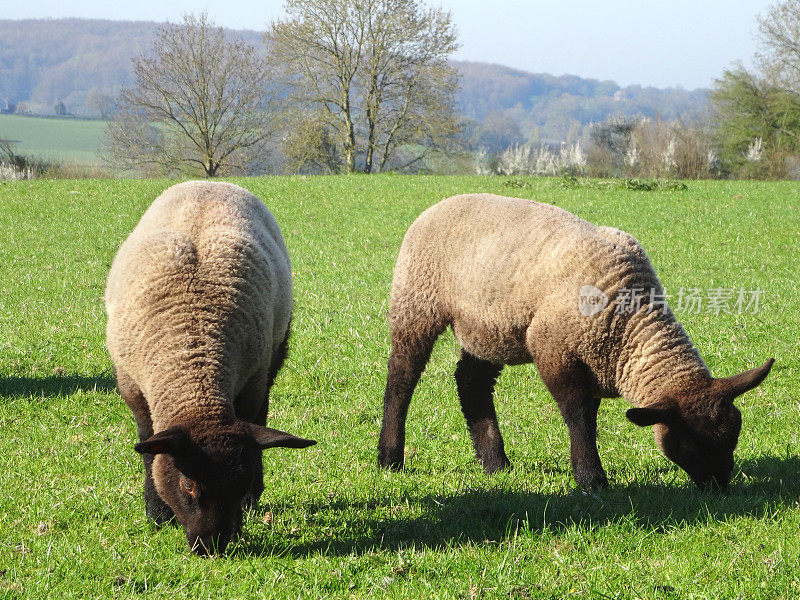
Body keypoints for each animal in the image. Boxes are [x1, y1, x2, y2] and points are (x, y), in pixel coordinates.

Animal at [105, 180, 316, 556]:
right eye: (188, 485)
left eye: (239, 484)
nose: (211, 548)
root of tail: (210, 182)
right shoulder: (133, 387)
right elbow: (149, 449)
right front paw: (157, 514)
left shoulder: (251, 384)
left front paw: (248, 503)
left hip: (274, 353)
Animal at [382, 195, 776, 490]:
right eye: (690, 444)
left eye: (734, 434)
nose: (719, 487)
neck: (630, 324)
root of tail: (441, 203)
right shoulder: (552, 348)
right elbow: (579, 414)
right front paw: (591, 479)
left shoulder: (594, 359)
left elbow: (587, 412)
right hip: (416, 301)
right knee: (402, 376)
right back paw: (389, 458)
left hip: (487, 327)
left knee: (471, 382)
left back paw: (495, 463)